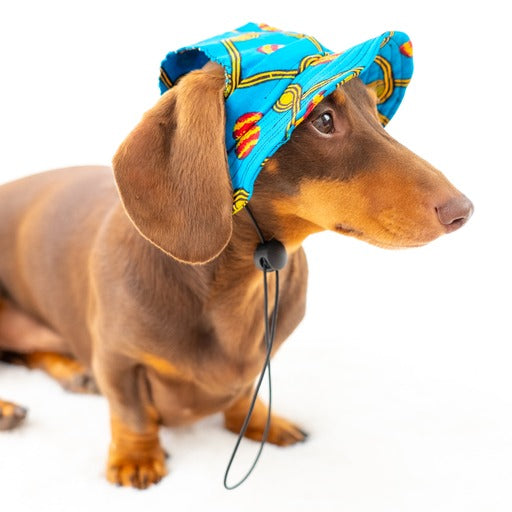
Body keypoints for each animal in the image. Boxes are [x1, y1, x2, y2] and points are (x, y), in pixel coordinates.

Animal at [0, 61, 472, 488]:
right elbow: (130, 411)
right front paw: (136, 459)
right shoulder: (118, 358)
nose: (463, 211)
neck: (239, 282)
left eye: (376, 110)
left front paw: (263, 423)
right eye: (323, 119)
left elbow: (246, 393)